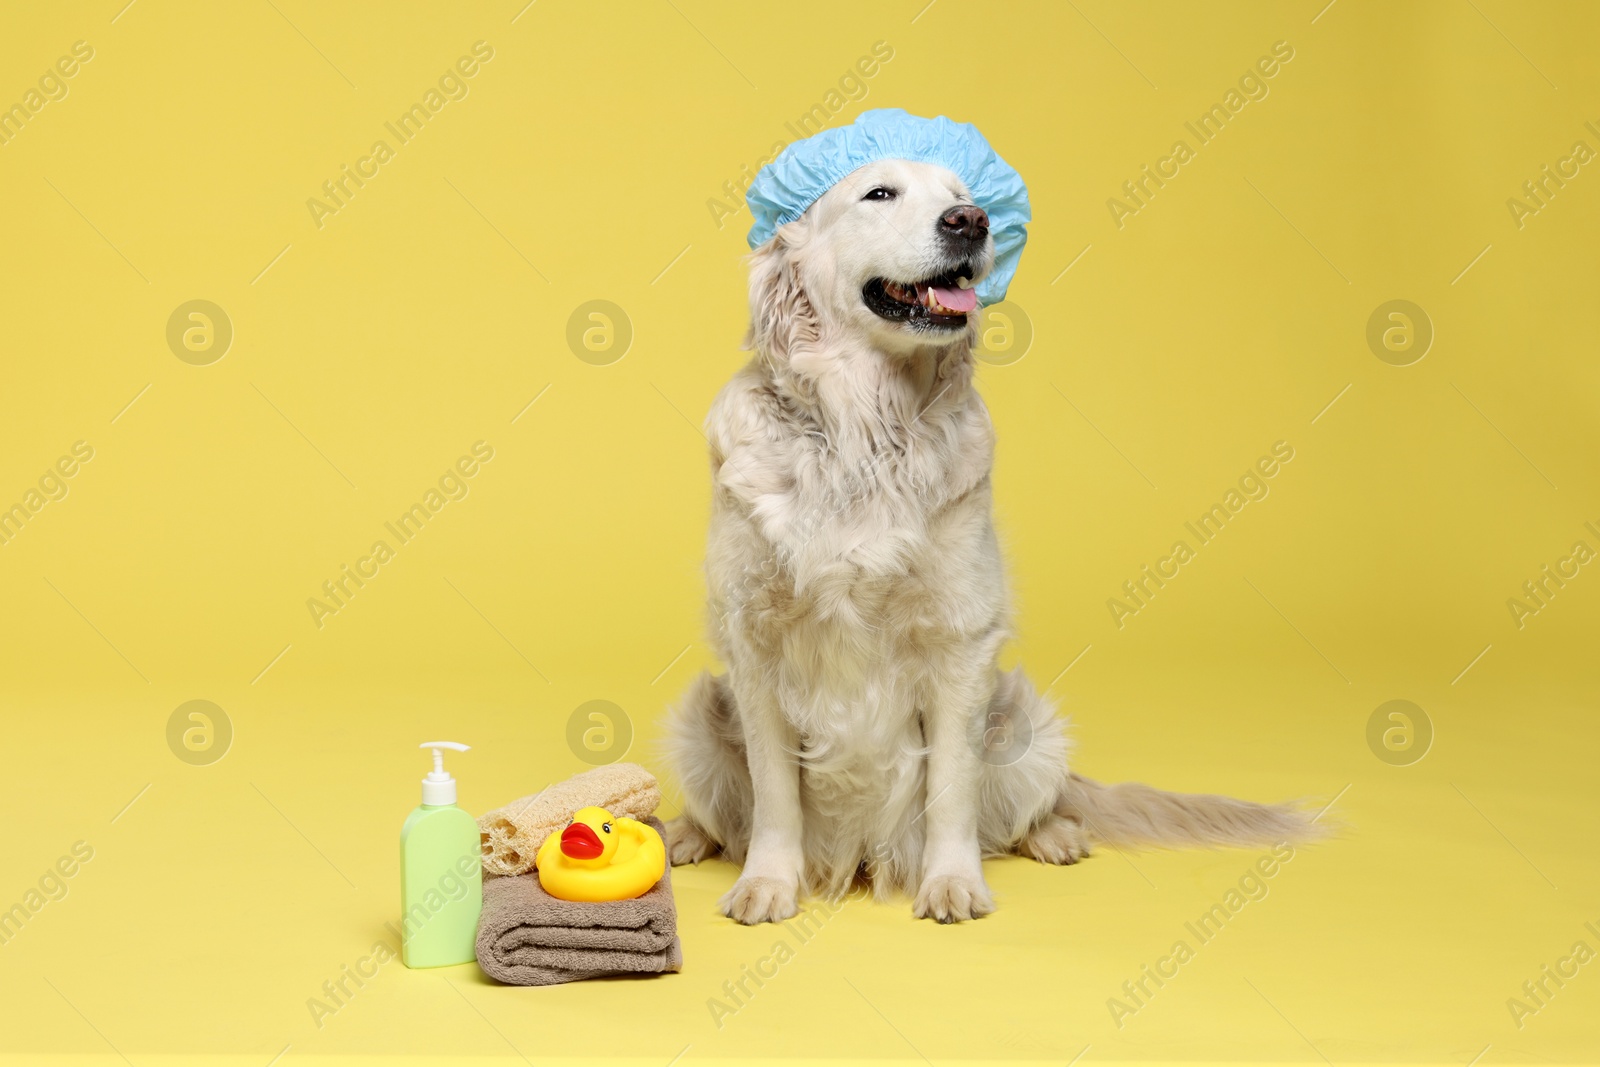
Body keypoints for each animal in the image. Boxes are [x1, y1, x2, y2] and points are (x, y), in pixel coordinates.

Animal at [656, 156, 1318, 927]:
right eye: (879, 193)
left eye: (962, 198)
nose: (970, 222)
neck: (864, 431)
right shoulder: (755, 643)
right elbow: (774, 795)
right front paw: (767, 882)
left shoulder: (959, 643)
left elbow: (952, 788)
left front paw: (951, 882)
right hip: (701, 717)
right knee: (723, 813)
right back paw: (681, 833)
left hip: (1026, 724)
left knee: (1024, 808)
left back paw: (1057, 834)